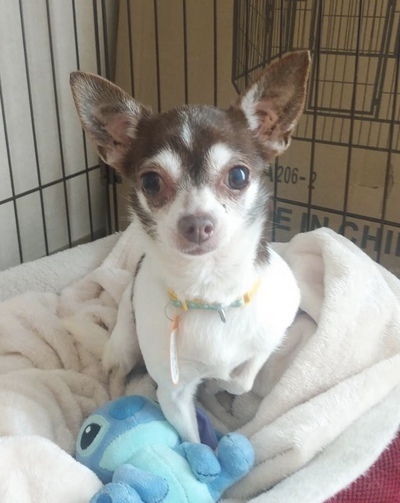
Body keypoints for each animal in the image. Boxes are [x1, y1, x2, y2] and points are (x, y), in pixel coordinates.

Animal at [70, 51, 310, 443]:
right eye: (151, 182)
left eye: (238, 176)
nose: (196, 223)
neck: (210, 293)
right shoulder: (174, 395)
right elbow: (192, 441)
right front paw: (204, 458)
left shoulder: (272, 333)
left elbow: (243, 378)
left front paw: (222, 385)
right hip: (125, 341)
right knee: (115, 373)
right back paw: (117, 396)